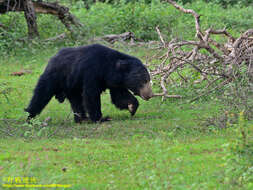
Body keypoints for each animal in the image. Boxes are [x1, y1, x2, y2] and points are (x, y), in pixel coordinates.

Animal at [24, 43, 153, 122]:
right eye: (144, 80)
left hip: (71, 86)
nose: (150, 95)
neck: (109, 69)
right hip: (54, 77)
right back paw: (29, 116)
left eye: (148, 79)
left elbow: (119, 96)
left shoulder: (115, 82)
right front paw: (101, 118)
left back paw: (81, 118)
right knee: (41, 95)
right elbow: (91, 95)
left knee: (76, 101)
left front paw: (132, 107)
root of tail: (51, 59)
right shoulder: (91, 72)